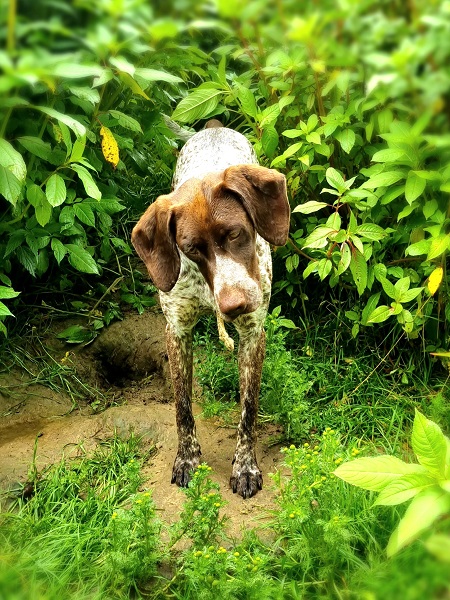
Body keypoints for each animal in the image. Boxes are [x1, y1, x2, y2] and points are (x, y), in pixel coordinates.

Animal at [132, 120, 290, 496]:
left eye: (235, 233)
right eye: (190, 248)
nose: (234, 304)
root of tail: (214, 127)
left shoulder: (253, 334)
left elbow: (248, 409)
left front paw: (245, 466)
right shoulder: (176, 332)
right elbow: (182, 407)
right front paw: (186, 458)